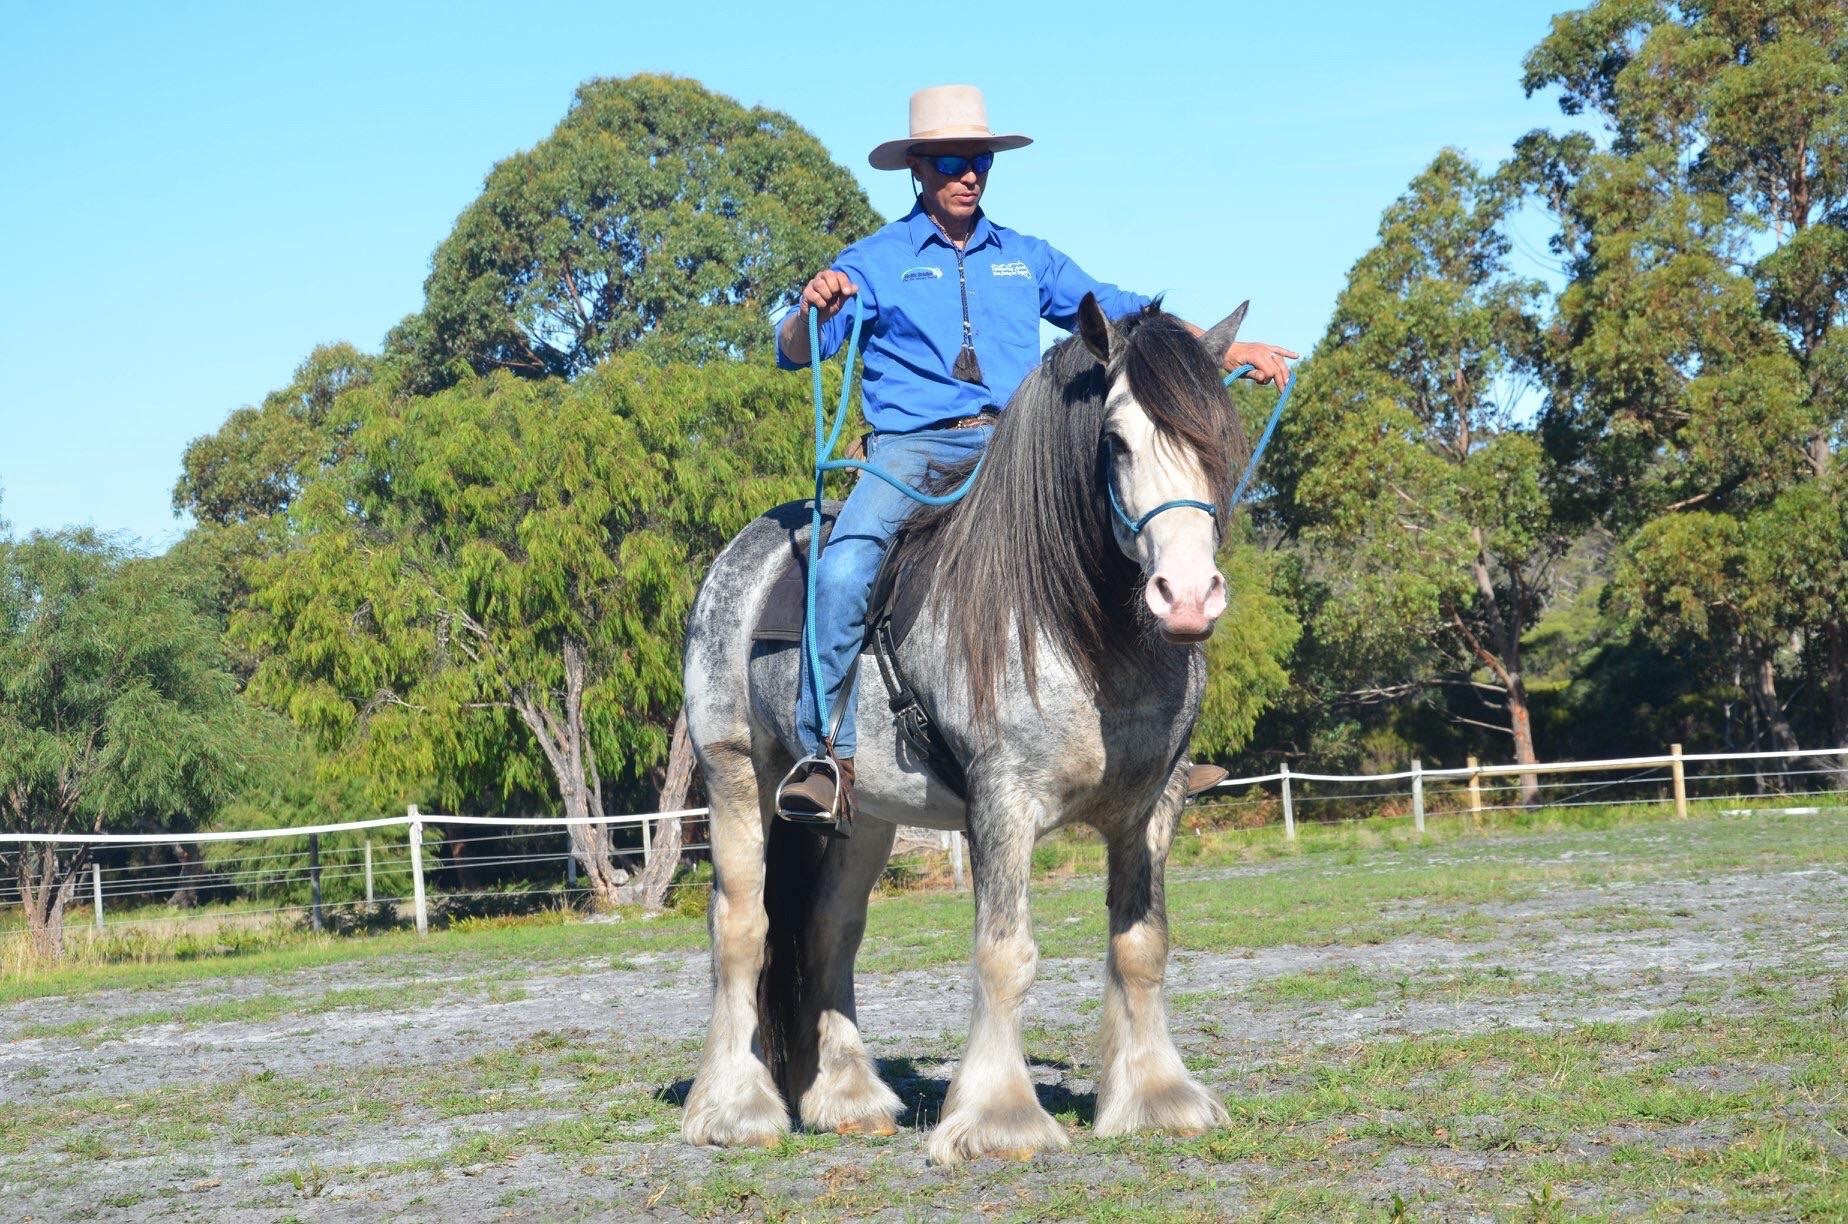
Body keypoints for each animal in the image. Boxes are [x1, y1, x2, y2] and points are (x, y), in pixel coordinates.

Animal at [679, 293, 1249, 1164]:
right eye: (1116, 440)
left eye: (1217, 435)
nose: (1186, 597)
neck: (1080, 630)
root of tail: (743, 557)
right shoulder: (1002, 804)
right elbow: (1004, 954)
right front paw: (999, 1117)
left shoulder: (1153, 807)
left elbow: (1141, 946)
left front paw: (1157, 1097)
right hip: (735, 775)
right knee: (744, 929)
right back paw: (734, 1107)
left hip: (863, 818)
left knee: (828, 933)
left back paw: (847, 1097)